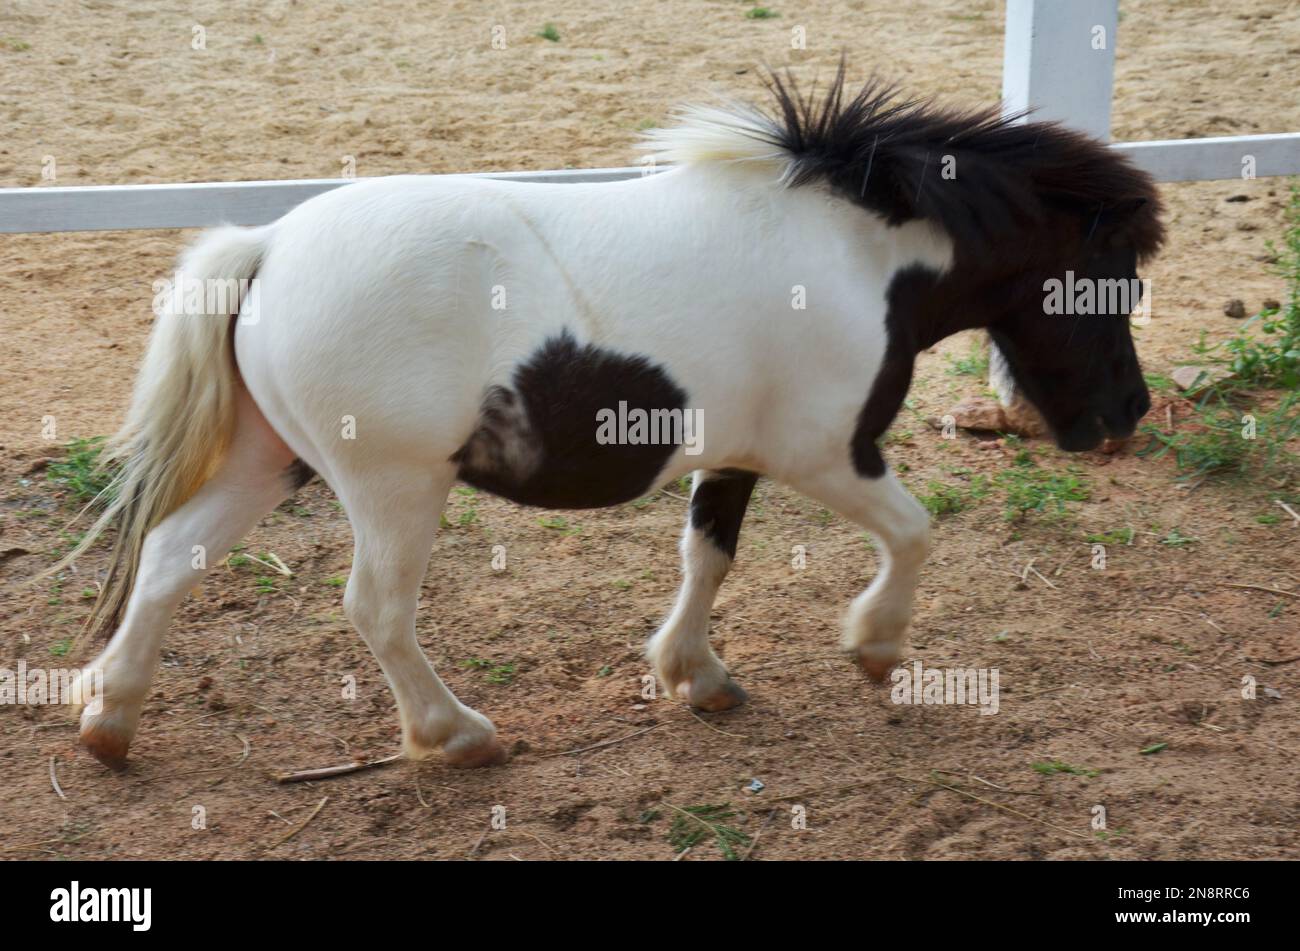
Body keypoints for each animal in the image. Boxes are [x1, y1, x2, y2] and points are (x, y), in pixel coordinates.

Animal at [61, 66, 1164, 769]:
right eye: (1111, 273)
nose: (1124, 414)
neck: (857, 258)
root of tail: (268, 247)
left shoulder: (738, 451)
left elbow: (707, 555)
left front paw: (696, 675)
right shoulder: (827, 453)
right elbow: (912, 533)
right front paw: (875, 646)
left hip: (268, 459)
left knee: (168, 557)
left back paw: (110, 720)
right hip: (394, 485)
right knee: (375, 610)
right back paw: (457, 735)